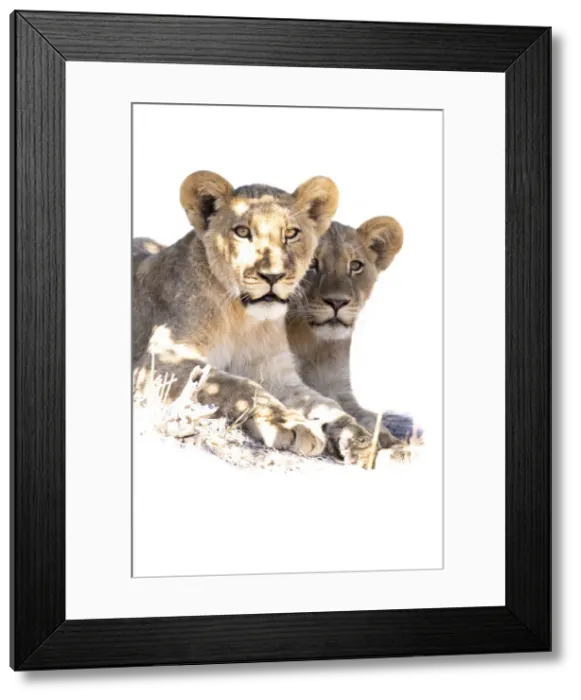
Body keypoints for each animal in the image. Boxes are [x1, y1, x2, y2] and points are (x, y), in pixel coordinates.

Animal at [133, 171, 386, 466]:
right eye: (243, 232)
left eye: (291, 233)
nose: (273, 276)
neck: (243, 319)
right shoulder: (161, 360)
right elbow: (236, 384)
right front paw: (289, 424)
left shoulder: (278, 373)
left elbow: (324, 403)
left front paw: (360, 439)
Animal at [286, 217, 417, 450]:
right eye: (312, 263)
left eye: (355, 266)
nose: (337, 302)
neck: (309, 341)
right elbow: (328, 409)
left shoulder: (338, 387)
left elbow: (366, 417)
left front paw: (391, 442)